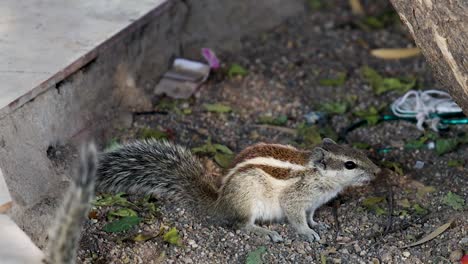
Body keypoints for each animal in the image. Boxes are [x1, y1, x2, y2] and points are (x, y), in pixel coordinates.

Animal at [96, 139, 380, 242]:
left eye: (358, 152)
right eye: (350, 164)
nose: (378, 172)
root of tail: (219, 204)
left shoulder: (312, 203)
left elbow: (309, 215)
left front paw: (316, 225)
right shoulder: (296, 199)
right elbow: (296, 217)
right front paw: (307, 233)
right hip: (248, 199)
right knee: (241, 225)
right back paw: (264, 232)